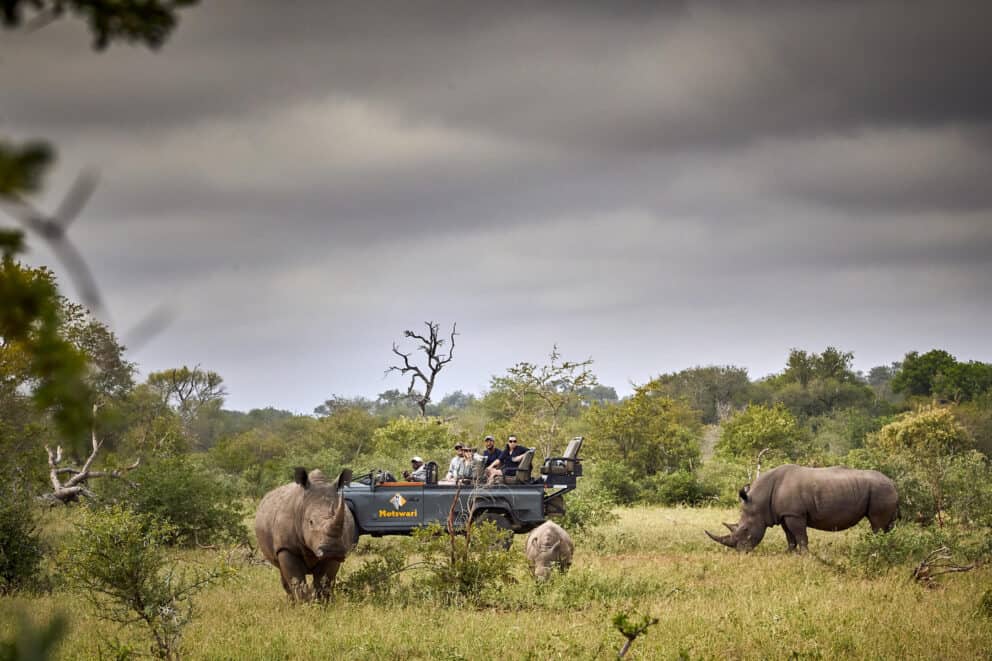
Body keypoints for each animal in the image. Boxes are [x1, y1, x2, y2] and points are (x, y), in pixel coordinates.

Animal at [255, 467, 356, 601]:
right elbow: (296, 580)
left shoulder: (337, 552)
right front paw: (303, 603)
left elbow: (325, 580)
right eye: (311, 522)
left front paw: (321, 602)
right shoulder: (286, 548)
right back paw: (291, 602)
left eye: (344, 523)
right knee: (282, 572)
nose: (332, 550)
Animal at [706, 464, 898, 553]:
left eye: (745, 529)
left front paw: (805, 556)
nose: (741, 551)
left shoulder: (795, 514)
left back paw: (875, 550)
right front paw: (789, 553)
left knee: (877, 524)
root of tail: (893, 483)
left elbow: (801, 536)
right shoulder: (784, 515)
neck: (759, 501)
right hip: (883, 491)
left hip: (881, 491)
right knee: (887, 527)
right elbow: (790, 537)